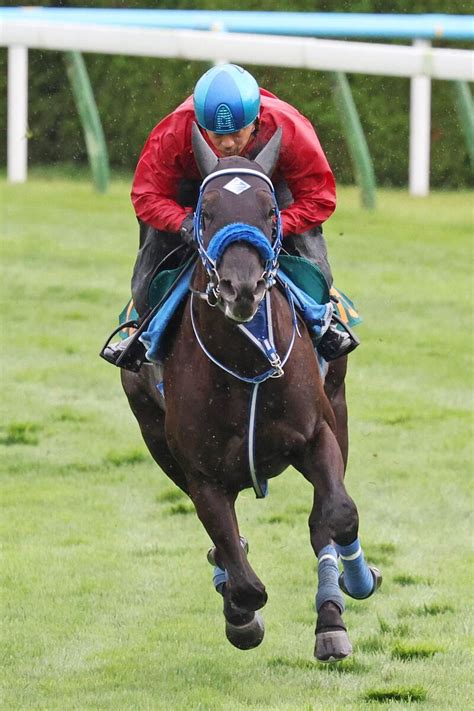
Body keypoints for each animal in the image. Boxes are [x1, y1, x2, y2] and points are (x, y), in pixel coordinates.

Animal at [122, 124, 382, 660]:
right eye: (206, 213)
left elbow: (338, 514)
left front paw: (357, 582)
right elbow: (243, 577)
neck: (246, 366)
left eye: (269, 210)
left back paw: (333, 618)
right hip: (153, 434)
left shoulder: (318, 433)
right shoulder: (199, 472)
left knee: (323, 522)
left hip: (339, 401)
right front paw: (240, 614)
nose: (240, 287)